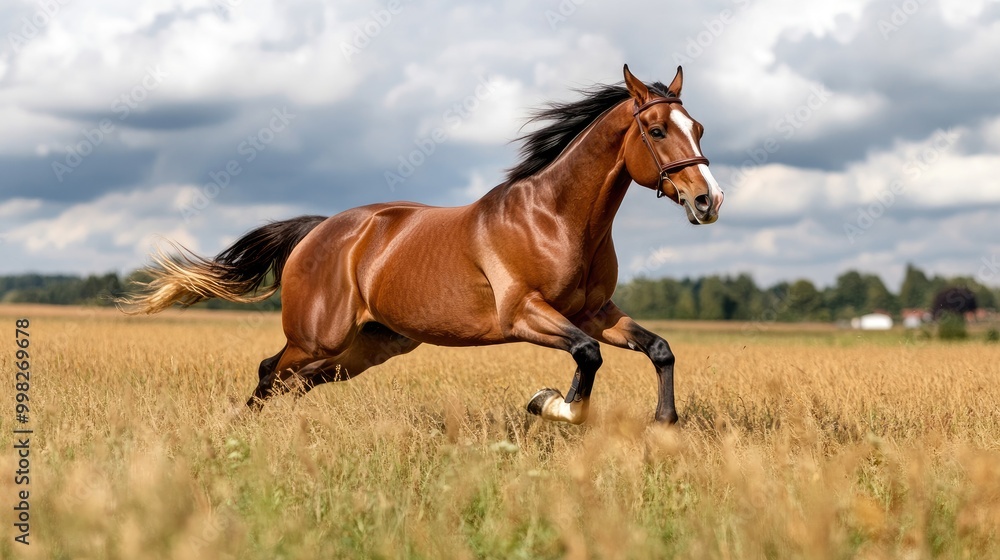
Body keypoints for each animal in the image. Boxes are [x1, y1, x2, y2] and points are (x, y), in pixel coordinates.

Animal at [119, 65, 724, 425]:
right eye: (657, 131)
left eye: (697, 128)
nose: (708, 201)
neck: (556, 218)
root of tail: (319, 229)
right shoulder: (524, 314)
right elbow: (587, 358)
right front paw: (550, 404)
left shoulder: (594, 311)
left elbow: (655, 349)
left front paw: (663, 423)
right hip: (317, 337)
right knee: (271, 371)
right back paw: (240, 435)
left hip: (366, 347)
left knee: (293, 383)